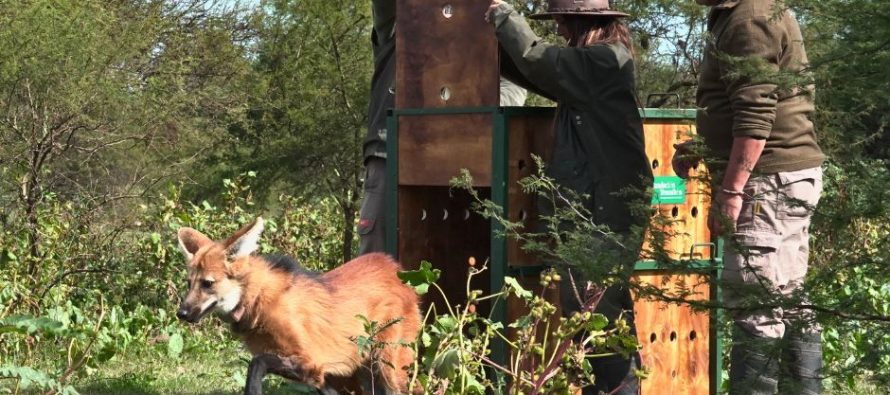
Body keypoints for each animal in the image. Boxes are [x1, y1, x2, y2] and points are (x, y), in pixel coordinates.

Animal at [177, 218, 424, 394]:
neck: (258, 301)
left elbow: (256, 363)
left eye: (207, 284)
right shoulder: (320, 376)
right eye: (189, 283)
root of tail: (396, 268)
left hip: (389, 367)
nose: (182, 313)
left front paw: (253, 390)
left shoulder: (311, 360)